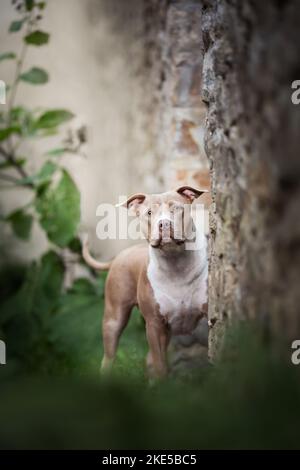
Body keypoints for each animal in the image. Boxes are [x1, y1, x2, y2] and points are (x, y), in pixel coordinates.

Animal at [82, 186, 209, 378]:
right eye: (149, 213)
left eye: (176, 208)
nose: (164, 224)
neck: (176, 264)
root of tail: (120, 255)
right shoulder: (154, 325)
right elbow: (160, 366)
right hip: (114, 318)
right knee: (109, 358)